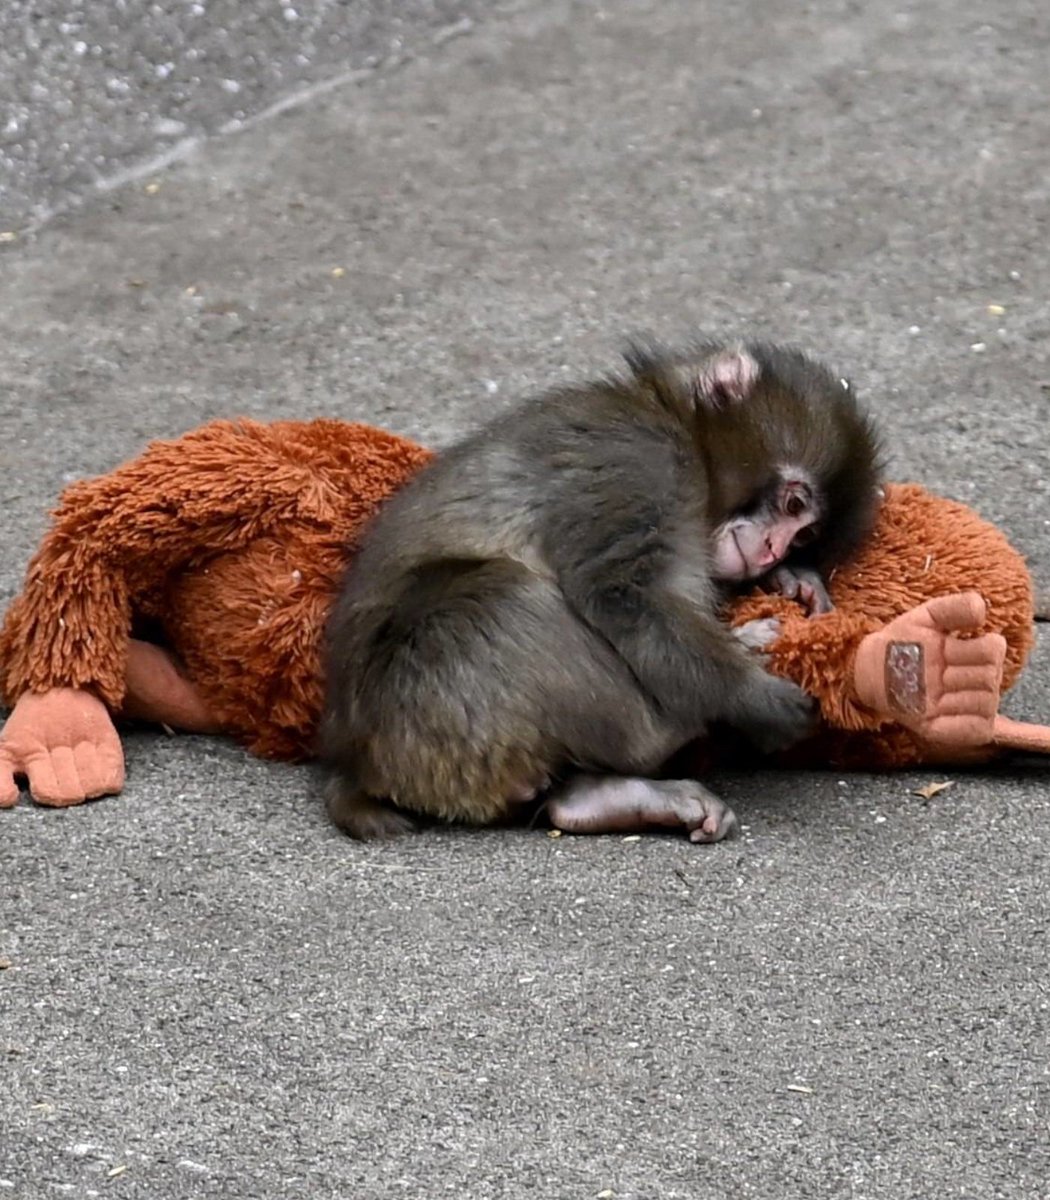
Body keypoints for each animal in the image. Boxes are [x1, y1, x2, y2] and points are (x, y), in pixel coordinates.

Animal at [320, 339, 883, 843]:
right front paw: (752, 696)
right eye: (793, 505)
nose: (772, 551)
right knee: (504, 596)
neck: (676, 424)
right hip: (424, 710)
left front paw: (793, 581)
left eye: (804, 536)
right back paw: (675, 726)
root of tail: (355, 766)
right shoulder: (640, 461)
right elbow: (623, 592)